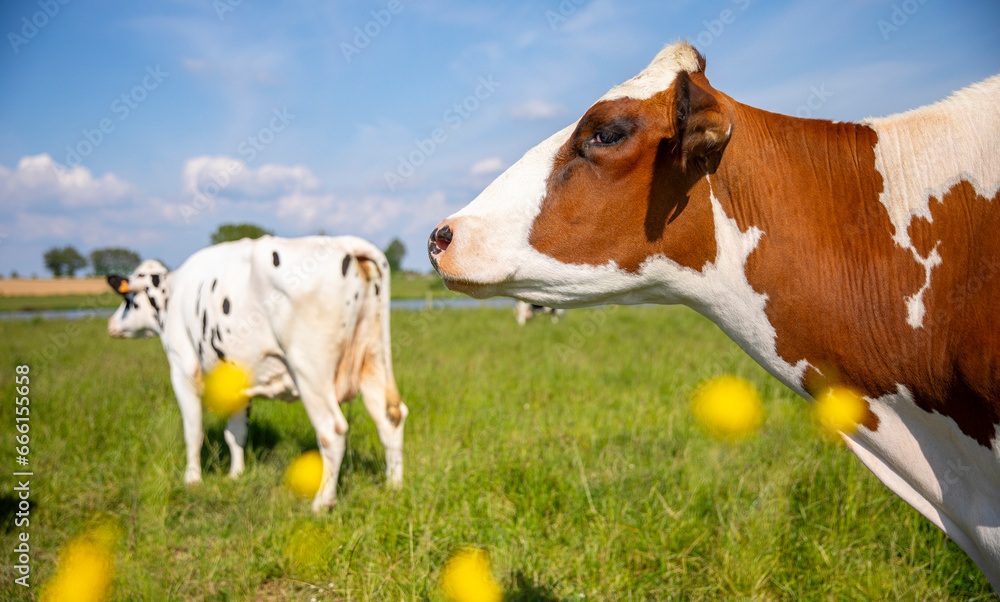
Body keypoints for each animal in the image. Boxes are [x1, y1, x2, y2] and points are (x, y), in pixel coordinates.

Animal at [106, 233, 406, 506]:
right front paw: (235, 476)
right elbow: (235, 432)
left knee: (332, 431)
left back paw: (321, 504)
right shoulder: (237, 378)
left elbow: (193, 430)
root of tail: (344, 242)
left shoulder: (182, 367)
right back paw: (393, 487)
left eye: (129, 300)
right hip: (373, 357)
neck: (173, 291)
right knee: (390, 416)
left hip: (310, 369)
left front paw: (192, 480)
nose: (111, 324)